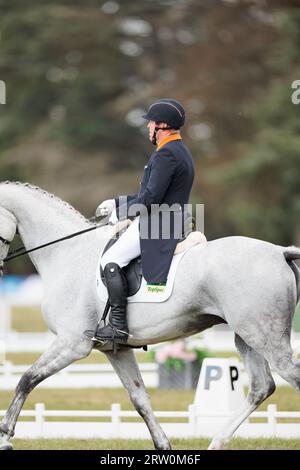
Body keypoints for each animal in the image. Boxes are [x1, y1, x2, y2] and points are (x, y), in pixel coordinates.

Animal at [0, 181, 298, 452]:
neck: (67, 254)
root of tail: (279, 251)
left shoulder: (72, 344)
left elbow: (27, 379)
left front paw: (5, 436)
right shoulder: (116, 350)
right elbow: (139, 398)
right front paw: (163, 445)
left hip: (266, 336)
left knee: (288, 377)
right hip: (247, 336)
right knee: (262, 387)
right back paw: (217, 442)